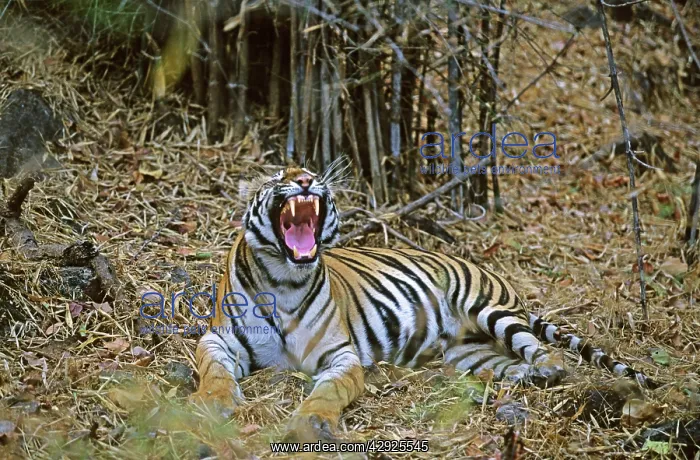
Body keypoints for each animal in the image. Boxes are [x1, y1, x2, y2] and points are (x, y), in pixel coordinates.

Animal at [190, 165, 657, 442]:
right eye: (277, 176)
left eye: (310, 171)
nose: (306, 180)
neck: (285, 278)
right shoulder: (219, 339)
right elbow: (213, 371)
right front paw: (213, 402)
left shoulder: (341, 356)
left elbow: (329, 390)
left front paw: (314, 421)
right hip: (471, 354)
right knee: (511, 366)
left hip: (491, 310)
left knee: (545, 353)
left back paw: (551, 370)